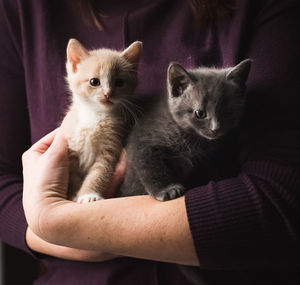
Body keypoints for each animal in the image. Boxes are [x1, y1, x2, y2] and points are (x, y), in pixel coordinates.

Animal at [61, 38, 142, 202]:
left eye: (119, 82)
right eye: (94, 82)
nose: (108, 94)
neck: (95, 115)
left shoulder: (110, 147)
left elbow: (99, 173)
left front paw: (89, 194)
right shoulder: (71, 146)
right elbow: (73, 176)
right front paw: (74, 195)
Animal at [118, 59, 252, 200]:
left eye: (227, 113)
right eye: (200, 113)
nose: (215, 128)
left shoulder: (207, 157)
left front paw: (215, 178)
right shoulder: (142, 143)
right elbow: (151, 168)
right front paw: (166, 189)